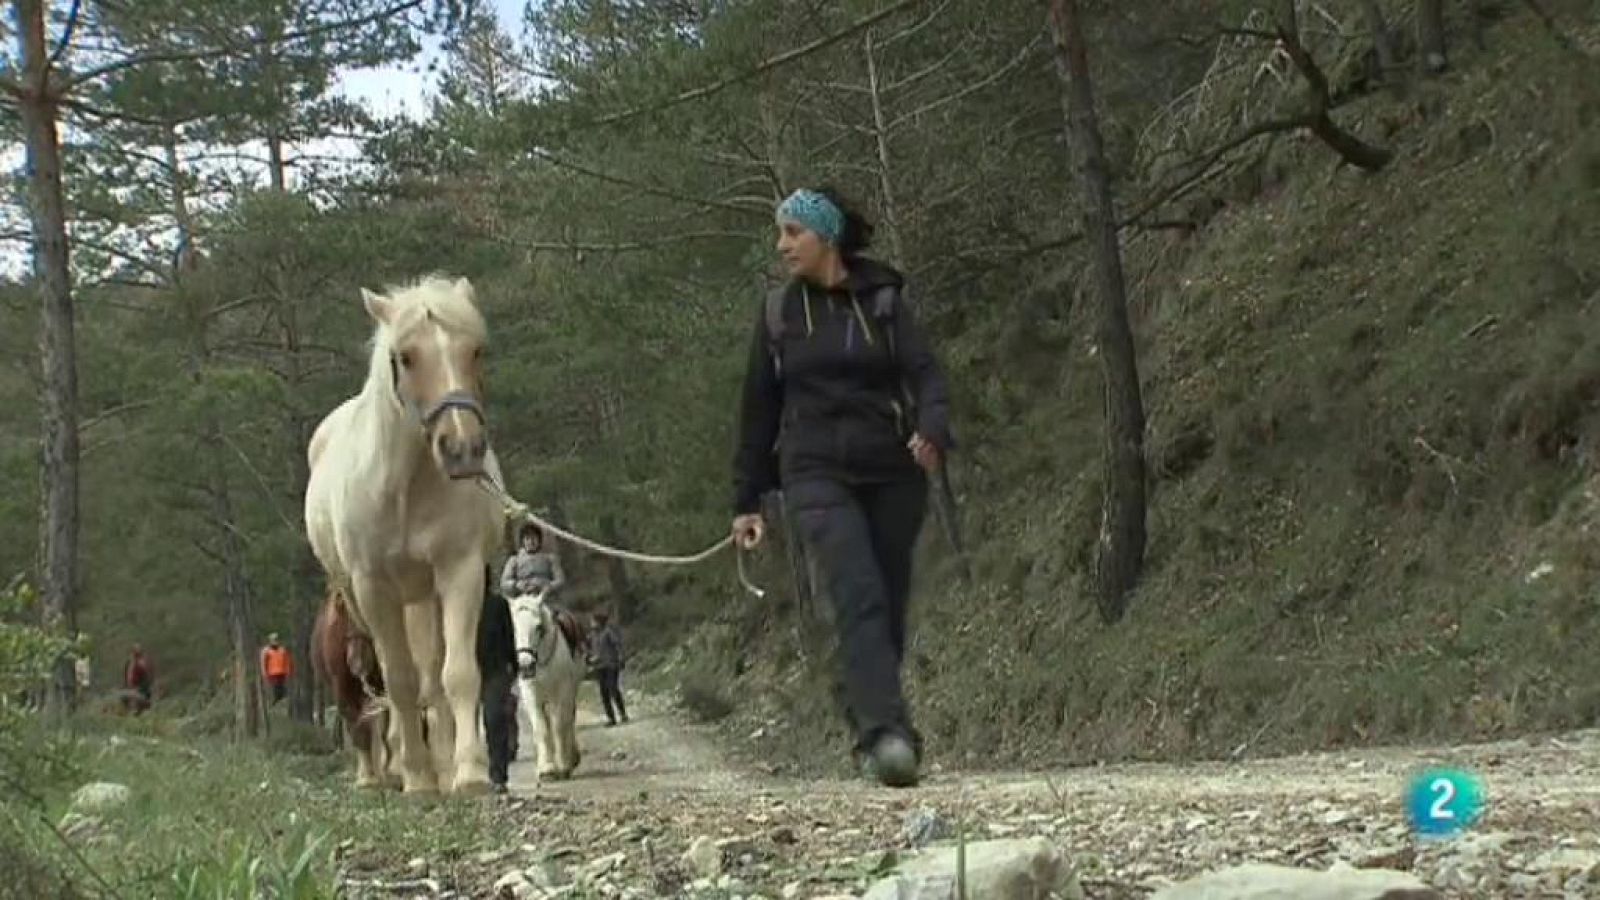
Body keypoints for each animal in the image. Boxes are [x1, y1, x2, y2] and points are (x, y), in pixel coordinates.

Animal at [310, 582, 392, 784]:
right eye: (345, 630)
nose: (357, 663)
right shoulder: (342, 688)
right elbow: (358, 730)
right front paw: (367, 777)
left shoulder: (381, 686)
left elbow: (383, 725)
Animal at [508, 589, 592, 778]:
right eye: (512, 629)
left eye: (538, 627)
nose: (525, 665)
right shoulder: (531, 695)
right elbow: (541, 728)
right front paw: (547, 768)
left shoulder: (562, 691)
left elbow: (559, 725)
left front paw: (563, 765)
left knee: (568, 719)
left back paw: (572, 757)